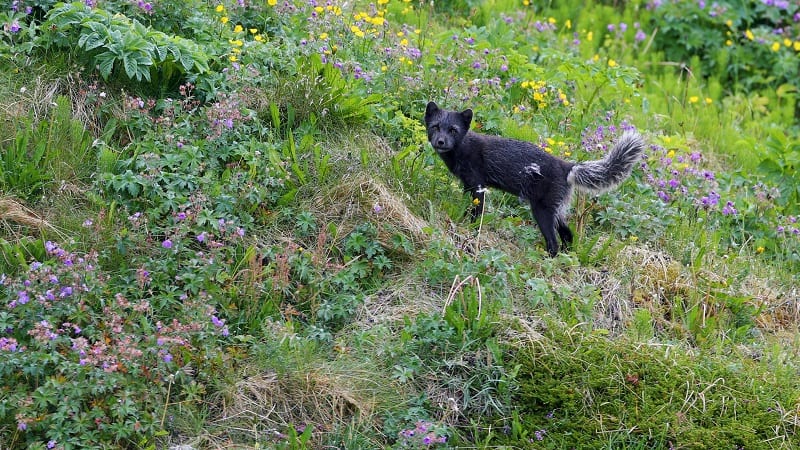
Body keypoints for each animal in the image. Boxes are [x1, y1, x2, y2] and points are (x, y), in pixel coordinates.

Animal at [424, 102, 644, 256]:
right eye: (435, 126)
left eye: (453, 129)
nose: (440, 141)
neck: (463, 150)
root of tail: (567, 166)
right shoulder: (468, 184)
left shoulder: (477, 184)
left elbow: (477, 211)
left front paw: (471, 226)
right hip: (557, 208)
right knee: (568, 234)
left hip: (542, 209)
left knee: (554, 241)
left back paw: (547, 257)